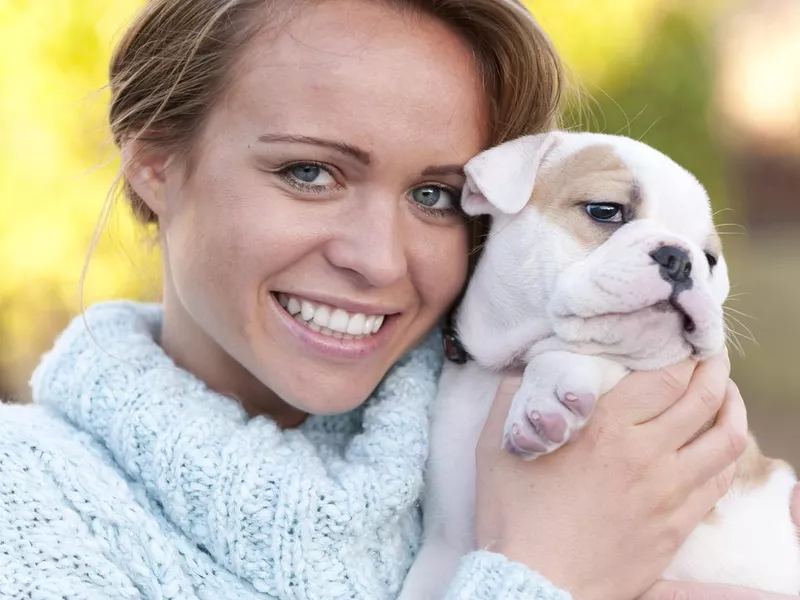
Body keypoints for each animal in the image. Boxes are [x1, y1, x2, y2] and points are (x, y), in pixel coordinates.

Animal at [400, 132, 800, 600]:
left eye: (709, 259)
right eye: (605, 210)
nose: (681, 259)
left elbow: (588, 355)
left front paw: (548, 396)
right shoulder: (443, 548)